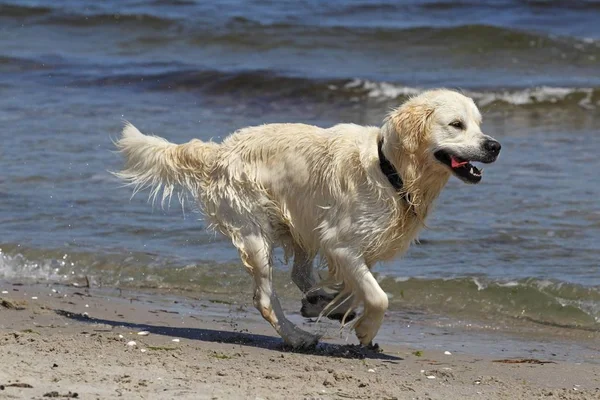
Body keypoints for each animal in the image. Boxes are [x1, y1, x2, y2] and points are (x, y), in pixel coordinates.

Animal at [115, 89, 500, 348]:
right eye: (456, 125)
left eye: (479, 125)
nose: (494, 145)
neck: (390, 170)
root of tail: (220, 151)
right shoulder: (341, 242)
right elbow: (378, 296)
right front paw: (365, 329)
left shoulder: (355, 245)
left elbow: (356, 286)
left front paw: (330, 304)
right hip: (256, 232)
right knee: (266, 299)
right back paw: (298, 336)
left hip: (301, 225)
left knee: (301, 274)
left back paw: (319, 302)